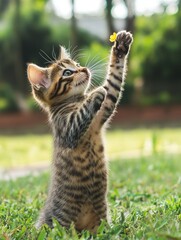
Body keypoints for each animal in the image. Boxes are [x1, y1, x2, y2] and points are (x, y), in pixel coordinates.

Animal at [27, 30, 134, 232]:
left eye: (76, 65)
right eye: (68, 72)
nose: (84, 69)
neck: (74, 101)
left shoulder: (103, 110)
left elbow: (113, 83)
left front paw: (120, 47)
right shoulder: (69, 128)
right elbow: (86, 108)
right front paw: (94, 92)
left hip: (99, 219)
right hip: (60, 222)